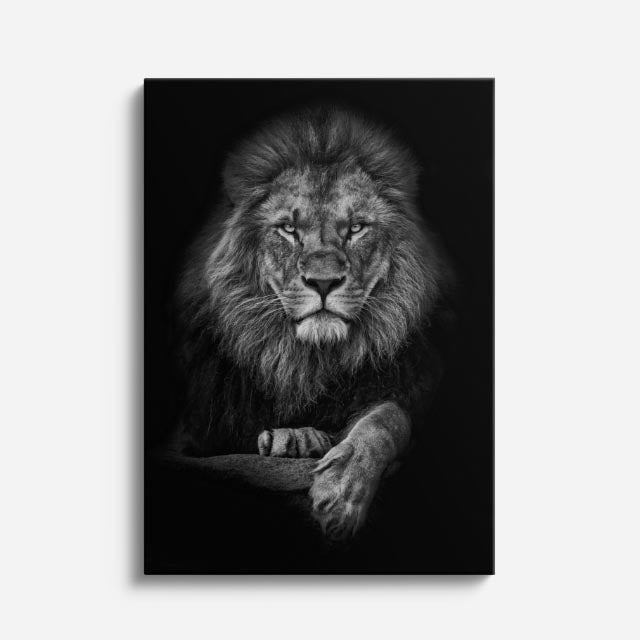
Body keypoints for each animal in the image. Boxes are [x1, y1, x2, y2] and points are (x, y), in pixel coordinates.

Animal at [170, 106, 453, 540]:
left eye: (356, 228)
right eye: (289, 228)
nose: (322, 282)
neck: (308, 362)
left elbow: (388, 417)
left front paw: (342, 492)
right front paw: (294, 439)